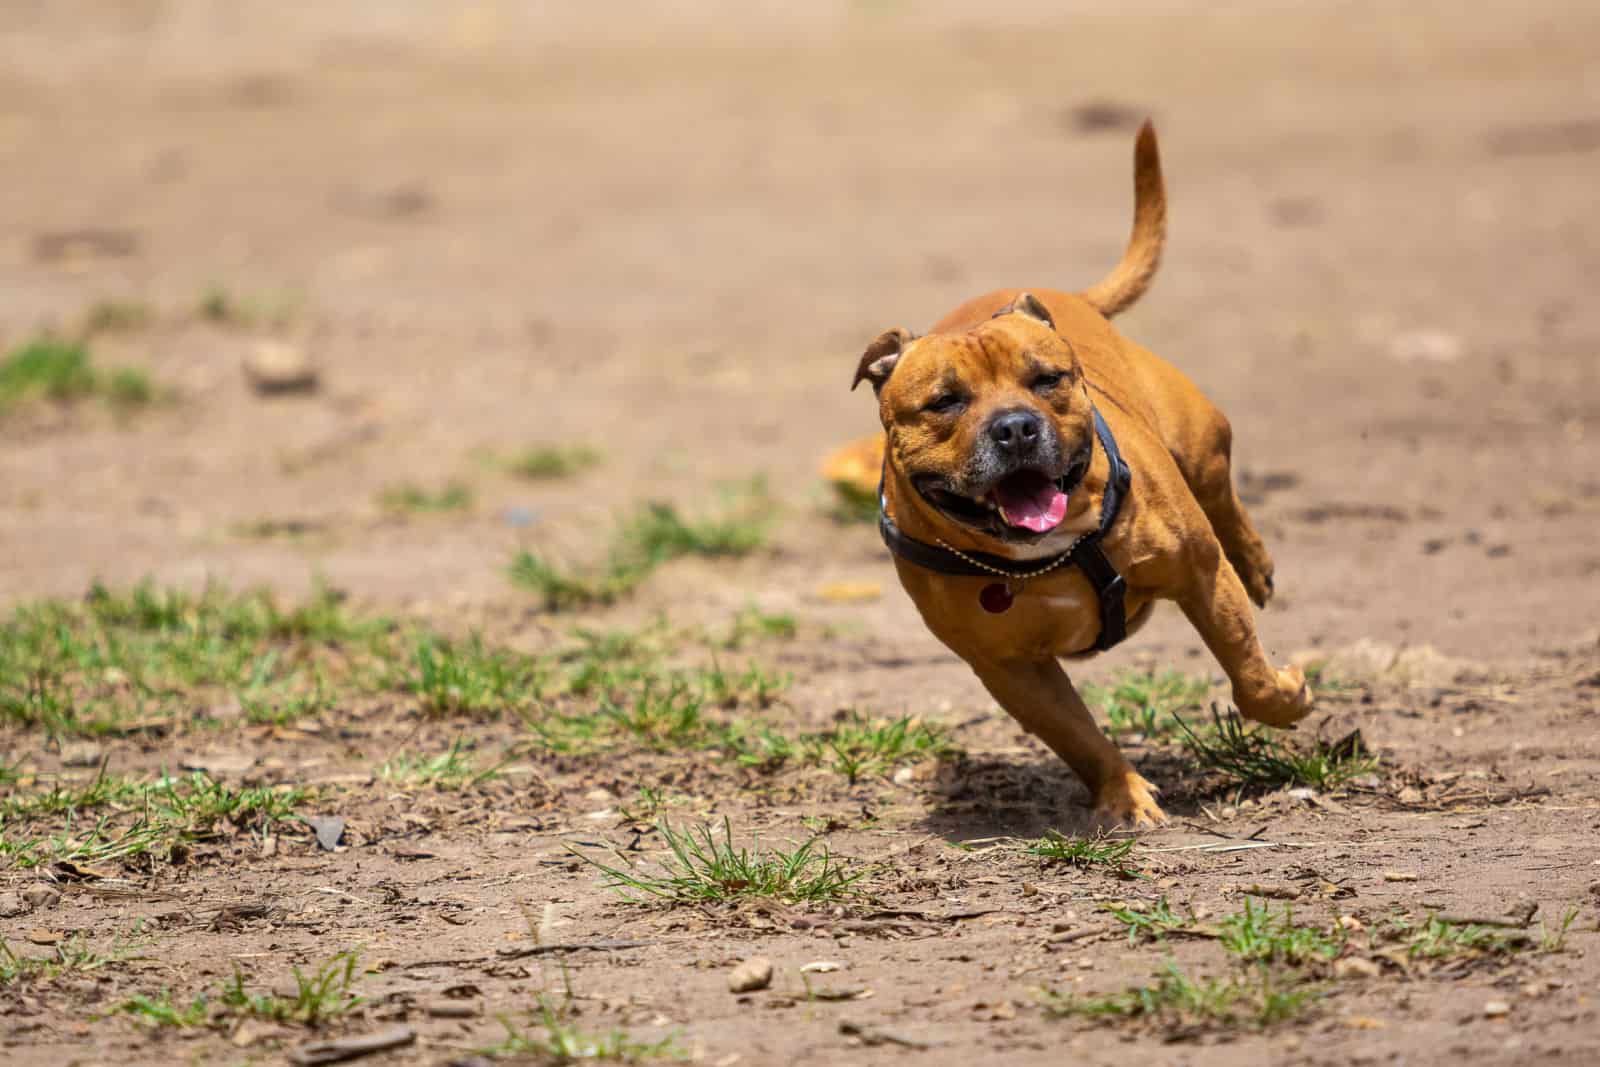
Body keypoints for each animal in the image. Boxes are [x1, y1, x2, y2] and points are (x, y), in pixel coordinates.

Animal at [832, 123, 1305, 825]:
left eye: (1046, 379)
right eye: (944, 402)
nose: (1015, 428)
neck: (1044, 552)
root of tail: (1067, 298)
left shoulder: (1199, 575)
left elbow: (1247, 669)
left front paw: (1286, 695)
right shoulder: (1009, 668)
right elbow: (1078, 735)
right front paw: (1123, 797)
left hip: (1199, 441)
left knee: (1222, 498)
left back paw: (1255, 562)